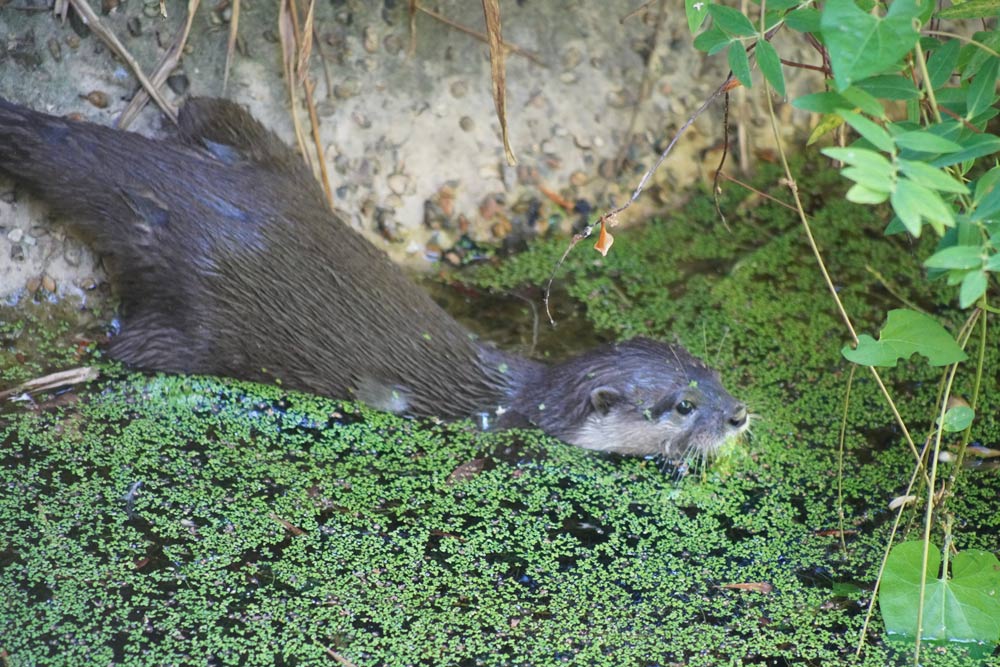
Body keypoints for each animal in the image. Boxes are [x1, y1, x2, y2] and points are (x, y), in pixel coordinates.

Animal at [0, 97, 748, 458]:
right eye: (682, 406)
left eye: (712, 374)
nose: (738, 414)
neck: (519, 400)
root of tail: (189, 198)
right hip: (201, 321)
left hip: (272, 166)